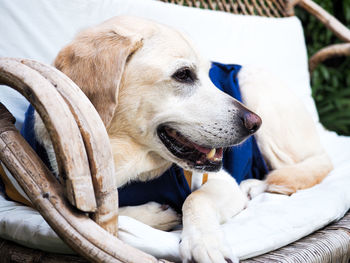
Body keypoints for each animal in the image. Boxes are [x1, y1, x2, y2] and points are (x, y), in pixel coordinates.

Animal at [33, 17, 334, 263]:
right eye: (183, 75)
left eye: (210, 74)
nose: (254, 123)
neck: (123, 162)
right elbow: (98, 215)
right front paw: (154, 215)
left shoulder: (221, 183)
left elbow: (195, 199)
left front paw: (206, 244)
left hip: (255, 87)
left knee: (300, 170)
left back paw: (255, 186)